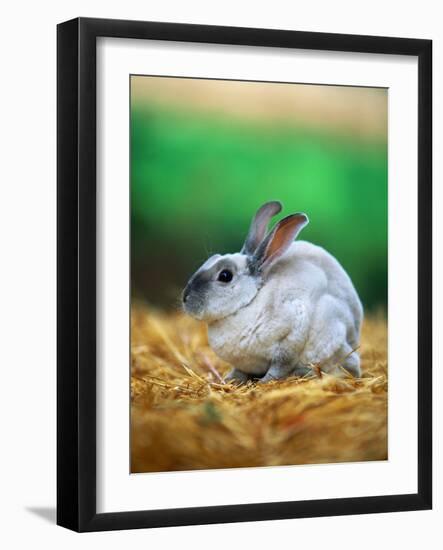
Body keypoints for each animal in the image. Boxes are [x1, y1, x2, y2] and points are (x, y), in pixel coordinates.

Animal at [182, 201, 362, 386]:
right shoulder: (243, 363)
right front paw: (230, 379)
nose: (185, 298)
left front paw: (265, 381)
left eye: (225, 276)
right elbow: (239, 370)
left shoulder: (292, 334)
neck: (250, 302)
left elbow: (280, 366)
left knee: (349, 367)